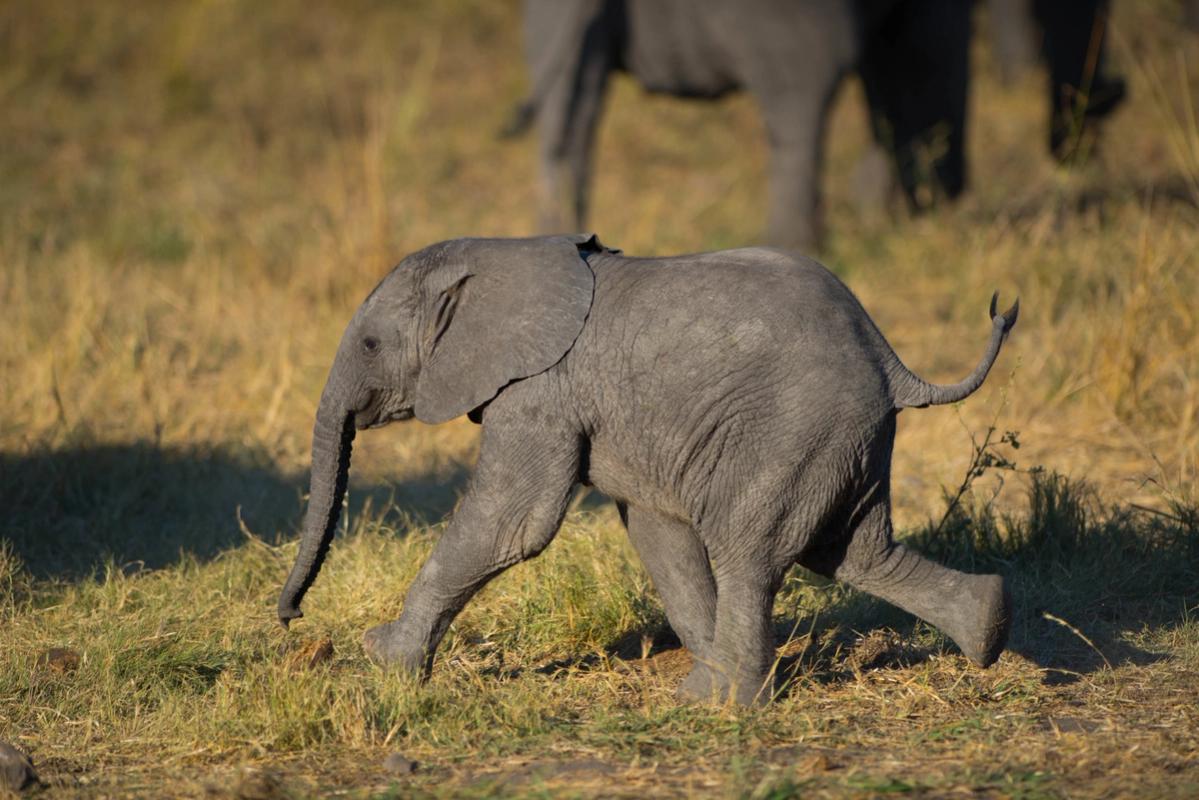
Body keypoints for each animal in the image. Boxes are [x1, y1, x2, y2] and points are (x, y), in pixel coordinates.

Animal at [275, 235, 1016, 705]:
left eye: (371, 345)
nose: (290, 619)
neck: (496, 257)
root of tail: (891, 360)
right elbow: (658, 535)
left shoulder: (539, 391)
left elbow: (513, 523)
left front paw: (382, 658)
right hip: (841, 438)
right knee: (853, 551)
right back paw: (987, 630)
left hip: (795, 429)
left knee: (751, 551)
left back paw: (717, 703)